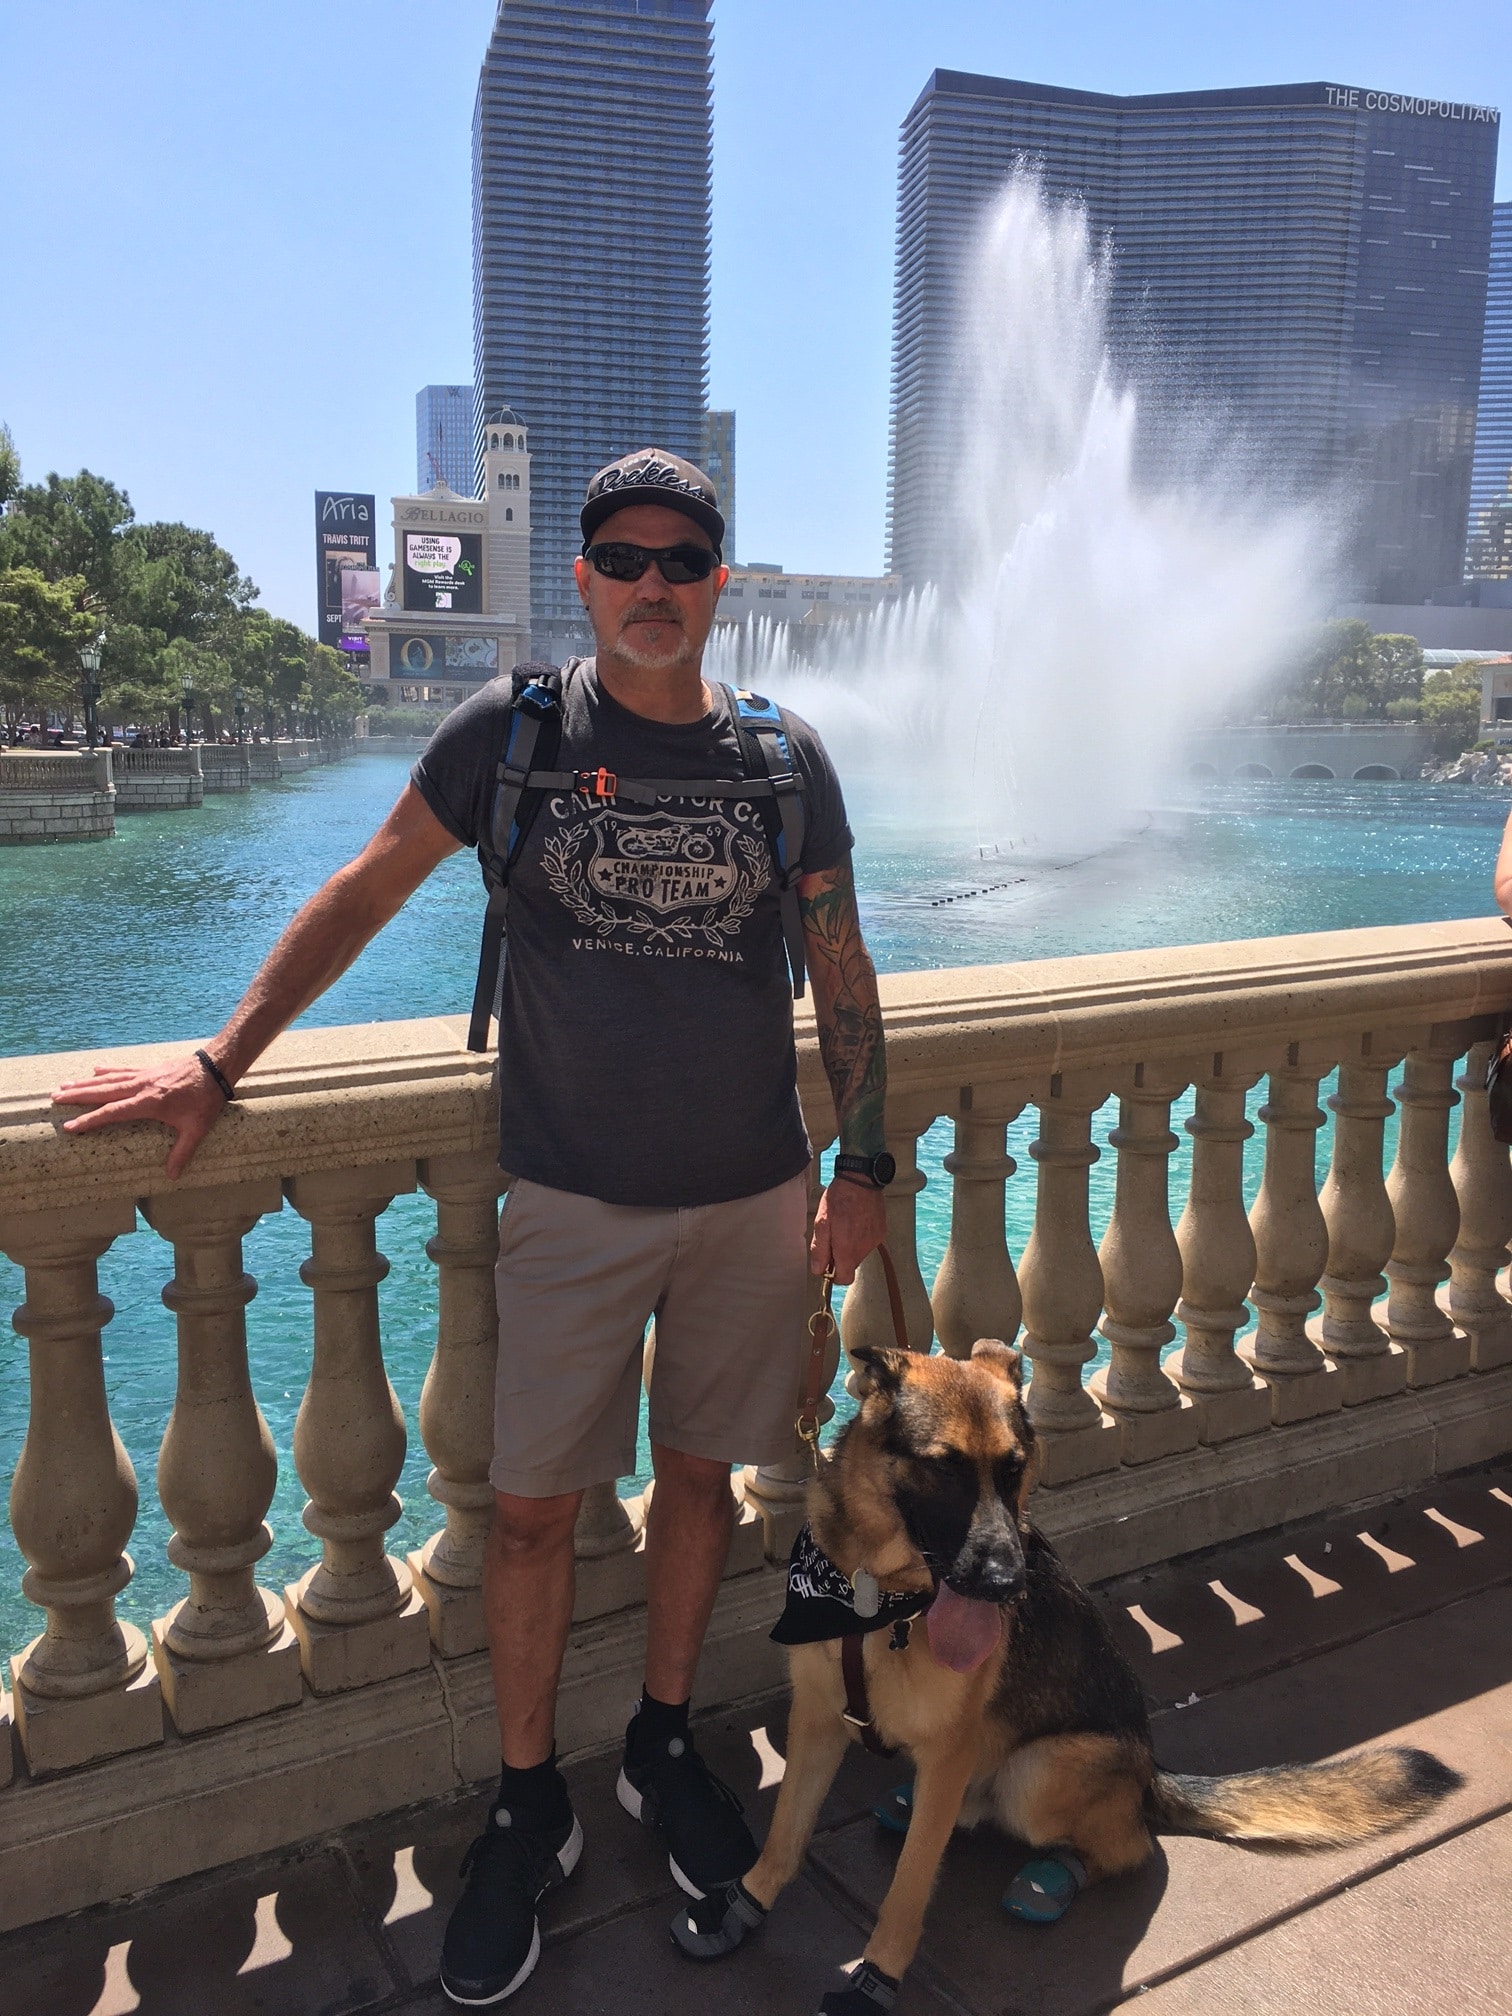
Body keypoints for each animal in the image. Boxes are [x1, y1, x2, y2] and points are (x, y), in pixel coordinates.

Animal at [673, 1338, 1467, 2016]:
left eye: (1014, 1468)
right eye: (945, 1467)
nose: (1008, 1581)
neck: (877, 1596)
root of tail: (1151, 1771)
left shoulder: (948, 1750)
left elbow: (905, 1892)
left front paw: (875, 1980)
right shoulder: (817, 1722)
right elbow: (784, 1836)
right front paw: (743, 1905)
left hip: (1044, 1770)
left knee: (1126, 1846)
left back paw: (1056, 1872)